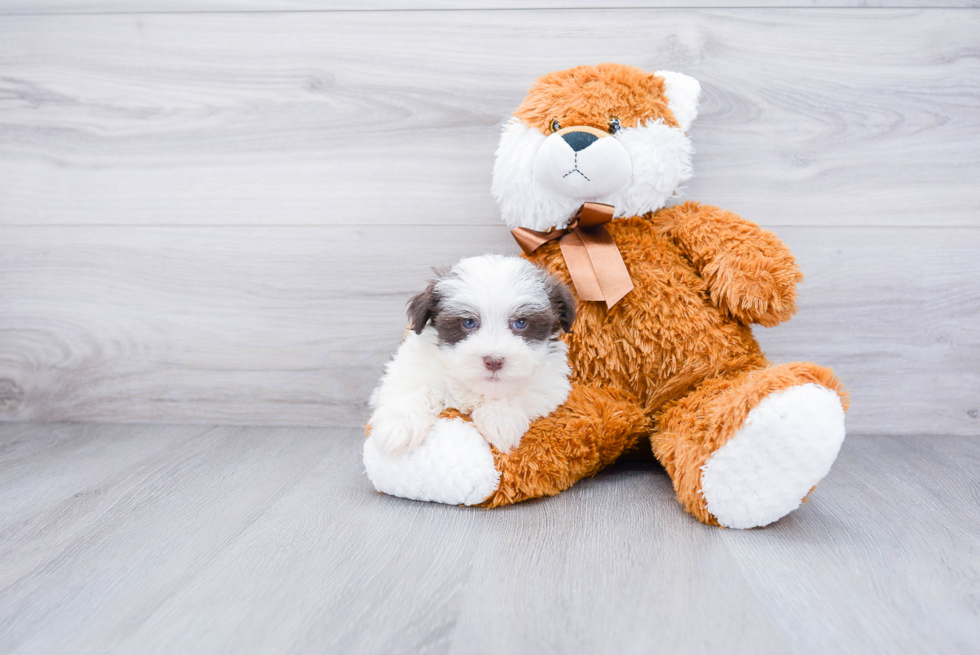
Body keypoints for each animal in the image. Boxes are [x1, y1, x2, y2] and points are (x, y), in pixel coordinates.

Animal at [372, 254, 580, 458]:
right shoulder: (410, 364)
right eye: (469, 322)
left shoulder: (550, 384)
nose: (494, 361)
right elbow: (413, 387)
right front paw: (400, 425)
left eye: (521, 322)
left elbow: (520, 392)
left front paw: (501, 419)